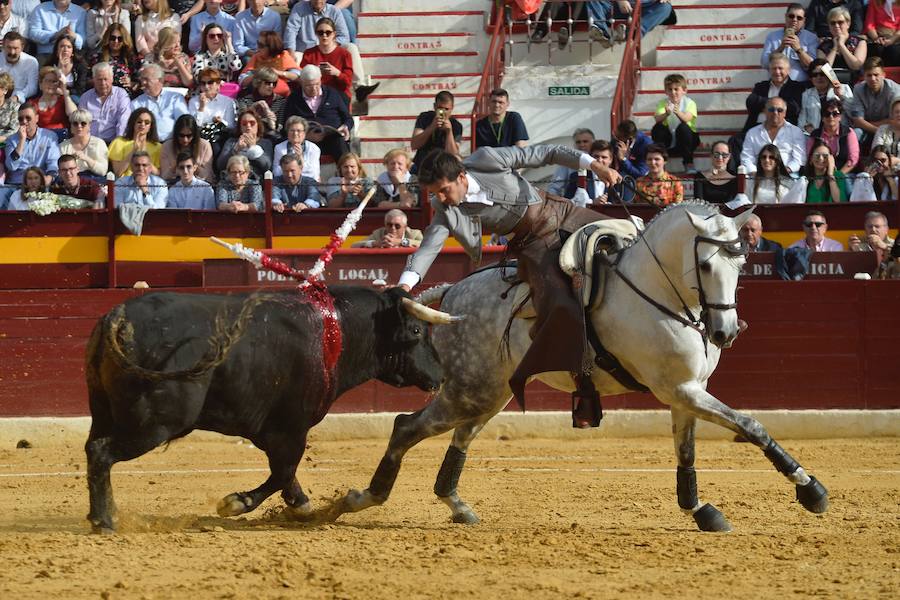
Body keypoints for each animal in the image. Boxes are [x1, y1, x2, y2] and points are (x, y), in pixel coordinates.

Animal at [85, 288, 450, 532]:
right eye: (417, 331)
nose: (441, 375)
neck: (336, 335)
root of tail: (117, 316)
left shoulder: (271, 430)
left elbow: (285, 474)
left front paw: (303, 509)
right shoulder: (291, 428)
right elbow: (283, 471)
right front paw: (235, 503)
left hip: (103, 410)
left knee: (92, 449)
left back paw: (103, 513)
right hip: (156, 421)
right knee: (102, 452)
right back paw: (105, 521)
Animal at [326, 202, 828, 528]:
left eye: (740, 262)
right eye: (705, 265)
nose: (724, 331)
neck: (658, 292)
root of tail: (451, 292)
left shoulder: (686, 391)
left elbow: (686, 452)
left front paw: (699, 509)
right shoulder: (681, 390)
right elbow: (751, 424)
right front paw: (809, 489)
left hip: (489, 391)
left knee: (458, 436)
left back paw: (455, 505)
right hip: (469, 389)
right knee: (406, 426)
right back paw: (361, 498)